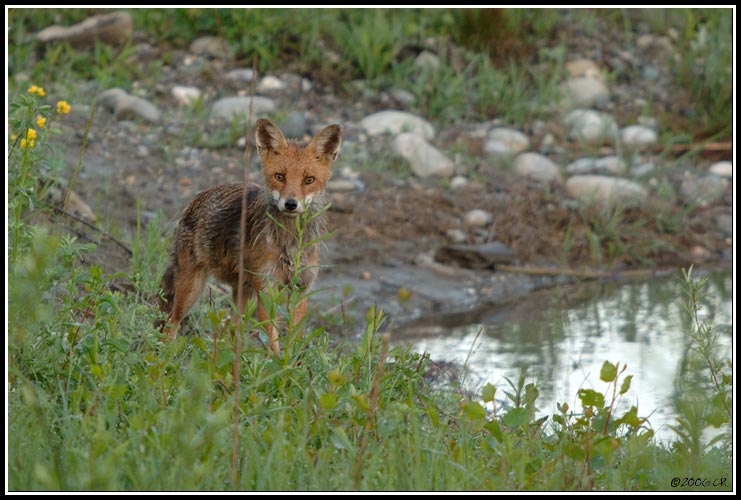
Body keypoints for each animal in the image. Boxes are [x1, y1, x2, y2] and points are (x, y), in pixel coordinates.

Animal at [158, 117, 342, 354]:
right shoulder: (266, 288)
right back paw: (164, 357)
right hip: (191, 290)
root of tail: (196, 198)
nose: (291, 204)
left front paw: (292, 362)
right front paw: (276, 363)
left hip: (241, 294)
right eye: (280, 177)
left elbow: (295, 339)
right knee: (171, 323)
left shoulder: (301, 287)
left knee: (230, 331)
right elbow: (273, 342)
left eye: (309, 180)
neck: (290, 243)